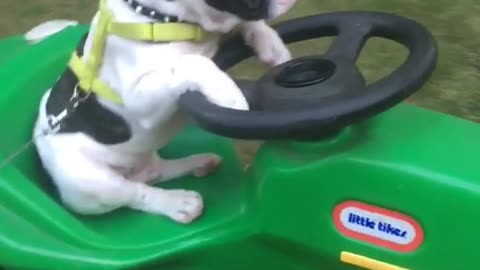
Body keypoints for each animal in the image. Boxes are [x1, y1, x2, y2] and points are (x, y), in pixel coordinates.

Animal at [25, 0, 296, 224]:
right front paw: (230, 96)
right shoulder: (138, 97)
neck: (163, 18)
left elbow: (246, 24)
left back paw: (200, 162)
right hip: (89, 182)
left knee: (157, 171)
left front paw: (271, 44)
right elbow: (192, 63)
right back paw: (179, 204)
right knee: (134, 194)